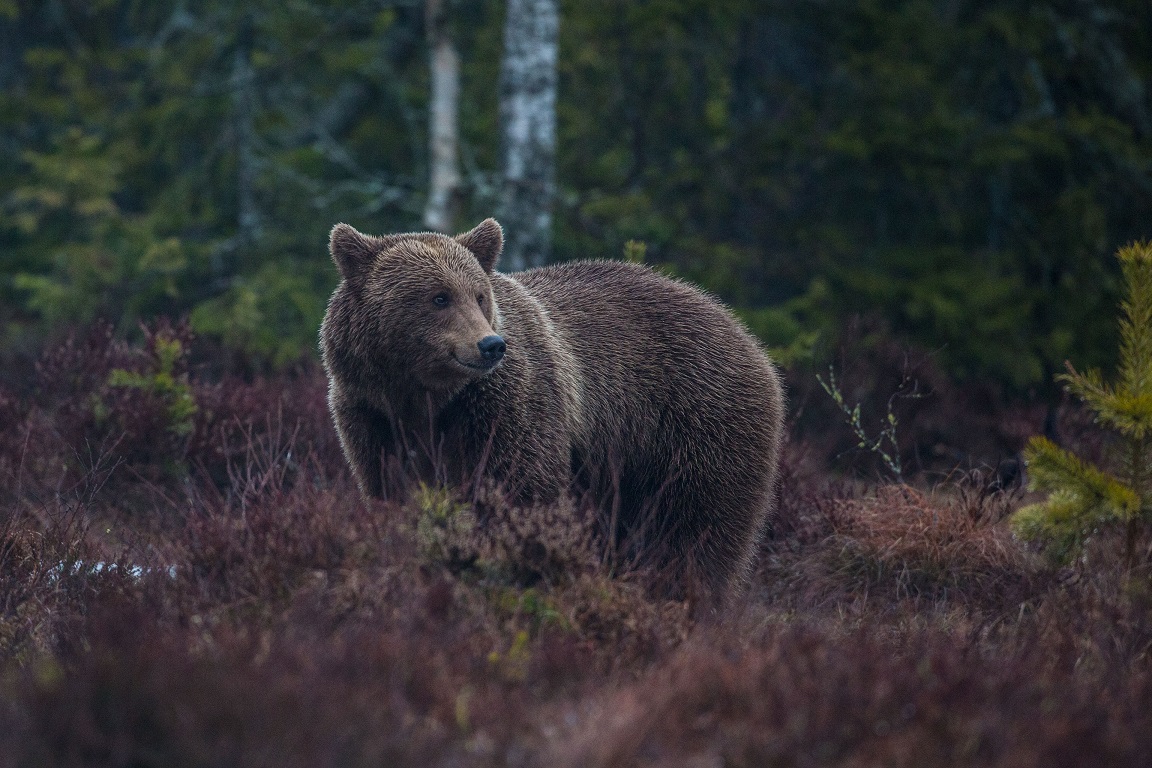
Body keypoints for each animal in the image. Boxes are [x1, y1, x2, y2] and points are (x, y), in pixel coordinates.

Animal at [320, 216, 787, 598]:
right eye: (439, 297)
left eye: (479, 295)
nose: (490, 345)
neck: (428, 397)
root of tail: (745, 334)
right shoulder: (371, 415)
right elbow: (393, 490)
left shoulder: (507, 407)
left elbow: (523, 492)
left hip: (695, 425)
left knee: (694, 533)